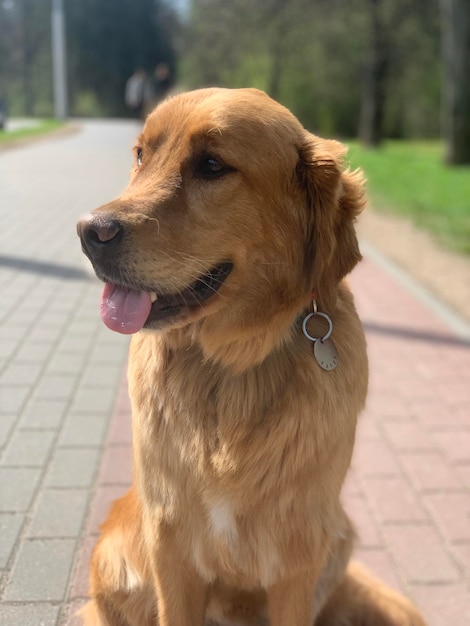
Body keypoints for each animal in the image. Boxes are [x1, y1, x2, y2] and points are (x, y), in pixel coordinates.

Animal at [77, 88, 426, 624]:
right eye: (140, 155)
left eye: (212, 165)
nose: (89, 232)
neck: (231, 365)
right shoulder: (171, 547)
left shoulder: (298, 560)